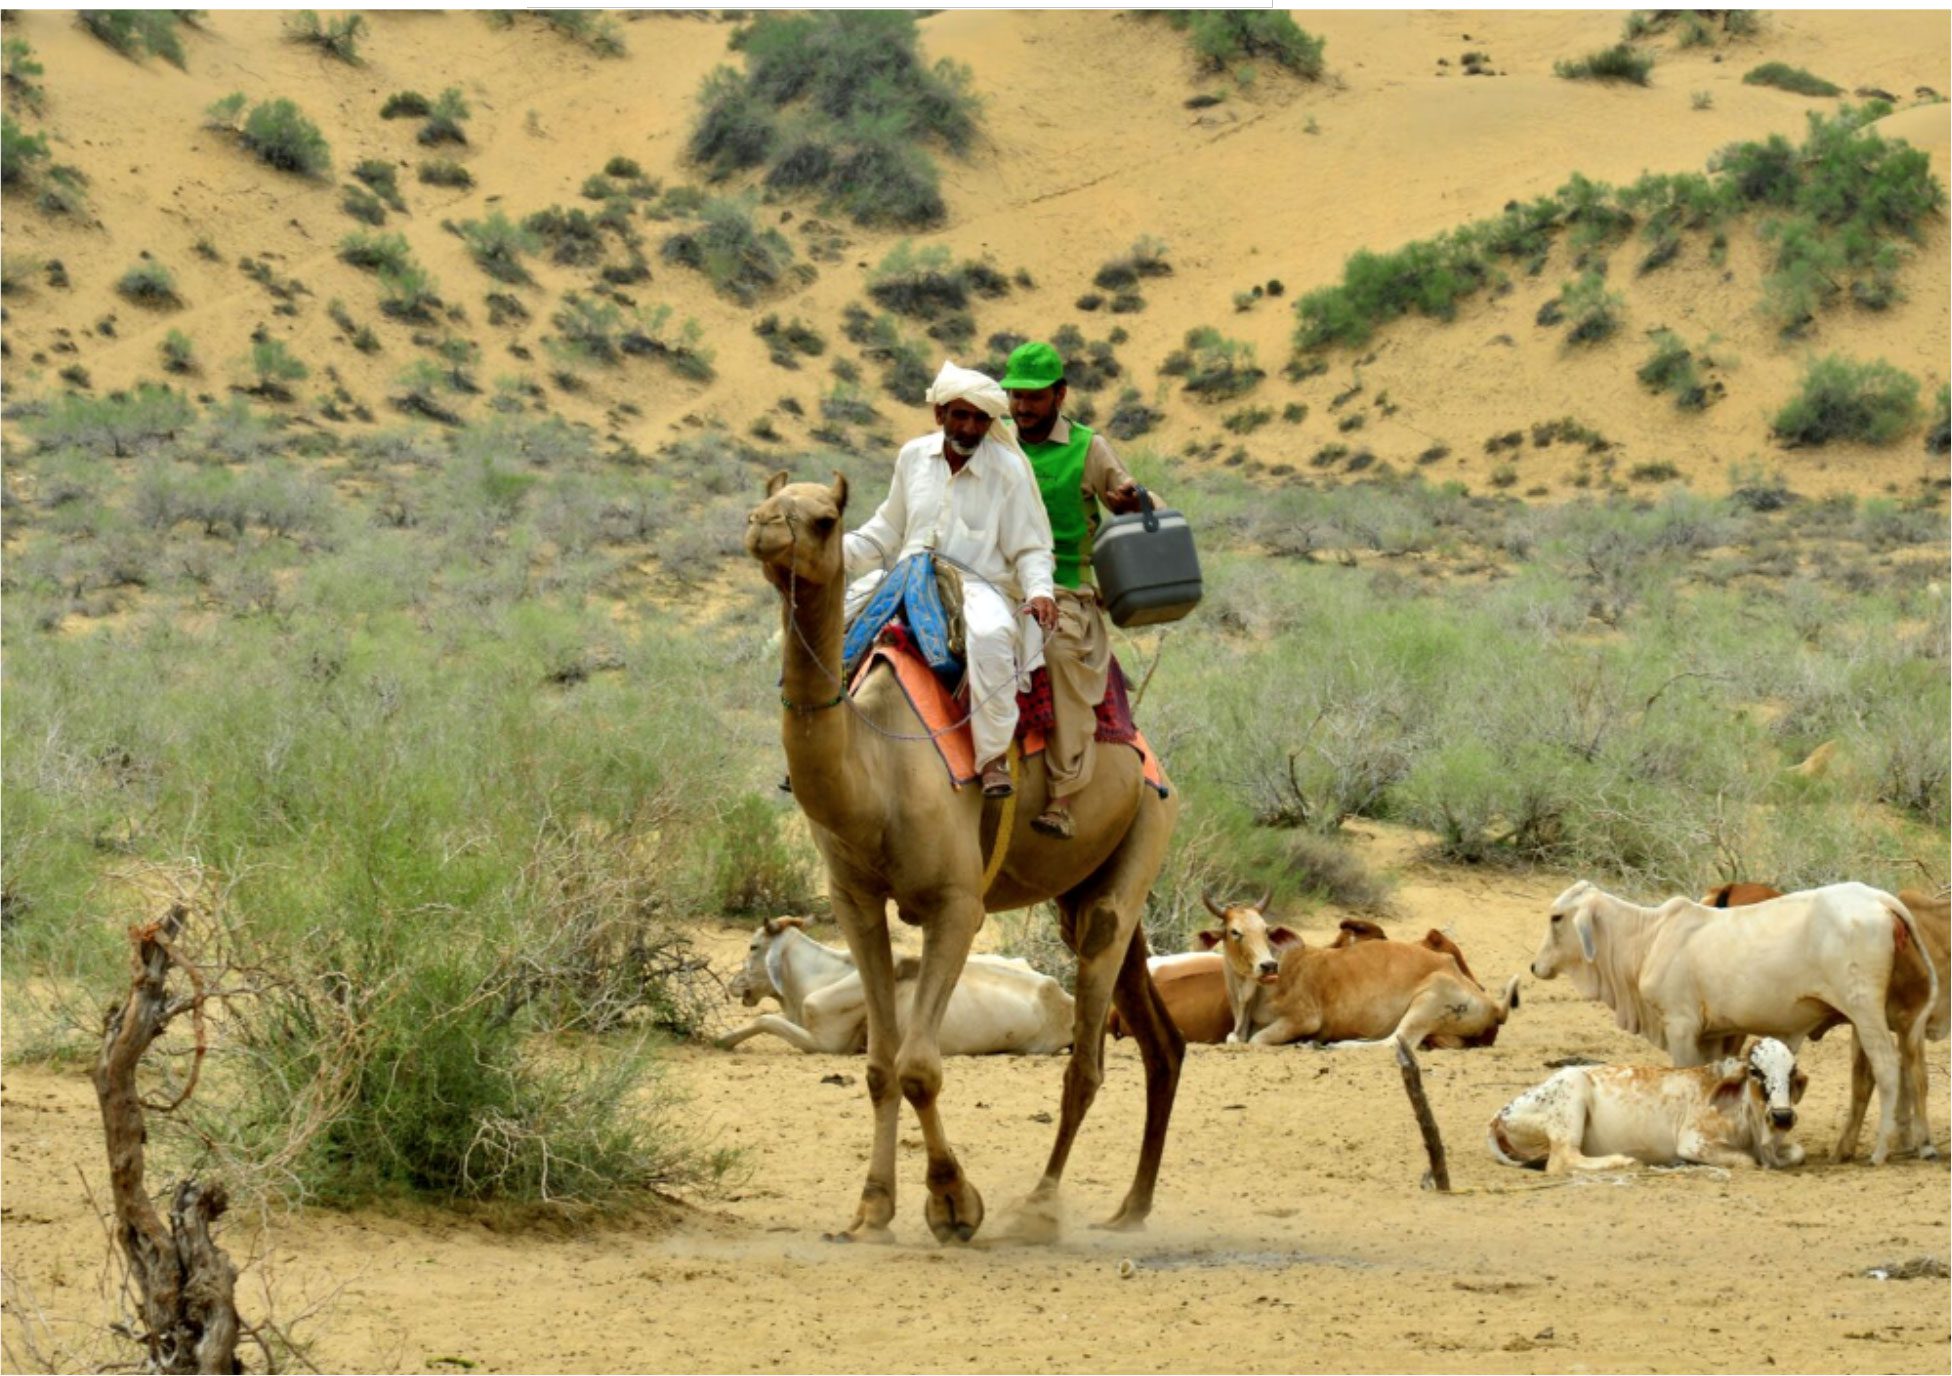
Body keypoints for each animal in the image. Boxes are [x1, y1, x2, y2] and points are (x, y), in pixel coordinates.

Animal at [714, 917, 1077, 1053]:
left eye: (753, 947)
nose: (732, 983)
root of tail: (1065, 999)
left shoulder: (826, 1043)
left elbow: (765, 1020)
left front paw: (723, 1039)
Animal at [1186, 897, 1522, 1046]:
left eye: (1266, 930)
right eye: (1235, 932)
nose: (1268, 965)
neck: (1249, 997)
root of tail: (1493, 1005)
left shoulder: (1304, 1019)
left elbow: (1256, 1041)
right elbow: (1234, 1039)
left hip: (1428, 1001)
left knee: (1394, 1043)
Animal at [1483, 1030, 1803, 1171]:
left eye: (1792, 1072)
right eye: (1755, 1071)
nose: (1783, 1116)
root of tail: (1498, 1115)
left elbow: (1797, 1152)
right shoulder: (1694, 1141)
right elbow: (1747, 1161)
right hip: (1572, 1098)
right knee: (1563, 1160)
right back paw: (1623, 1161)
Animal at [1522, 882, 1936, 1155]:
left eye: (1556, 918)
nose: (1534, 966)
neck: (1648, 938)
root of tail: (1878, 897)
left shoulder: (1681, 1026)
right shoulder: (1716, 1035)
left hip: (1864, 1011)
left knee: (1887, 1068)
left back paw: (1880, 1151)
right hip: (1893, 1018)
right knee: (1907, 1069)